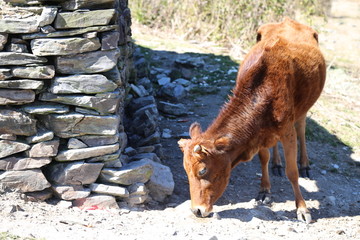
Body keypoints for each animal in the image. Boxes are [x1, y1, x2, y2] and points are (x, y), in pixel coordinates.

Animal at [178, 18, 326, 223]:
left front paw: (302, 208)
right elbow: (264, 158)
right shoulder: (260, 133)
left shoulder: (286, 130)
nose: (197, 211)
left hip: (303, 108)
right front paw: (265, 191)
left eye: (202, 170)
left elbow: (292, 172)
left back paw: (305, 164)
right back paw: (277, 163)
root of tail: (288, 20)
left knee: (302, 128)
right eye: (185, 170)